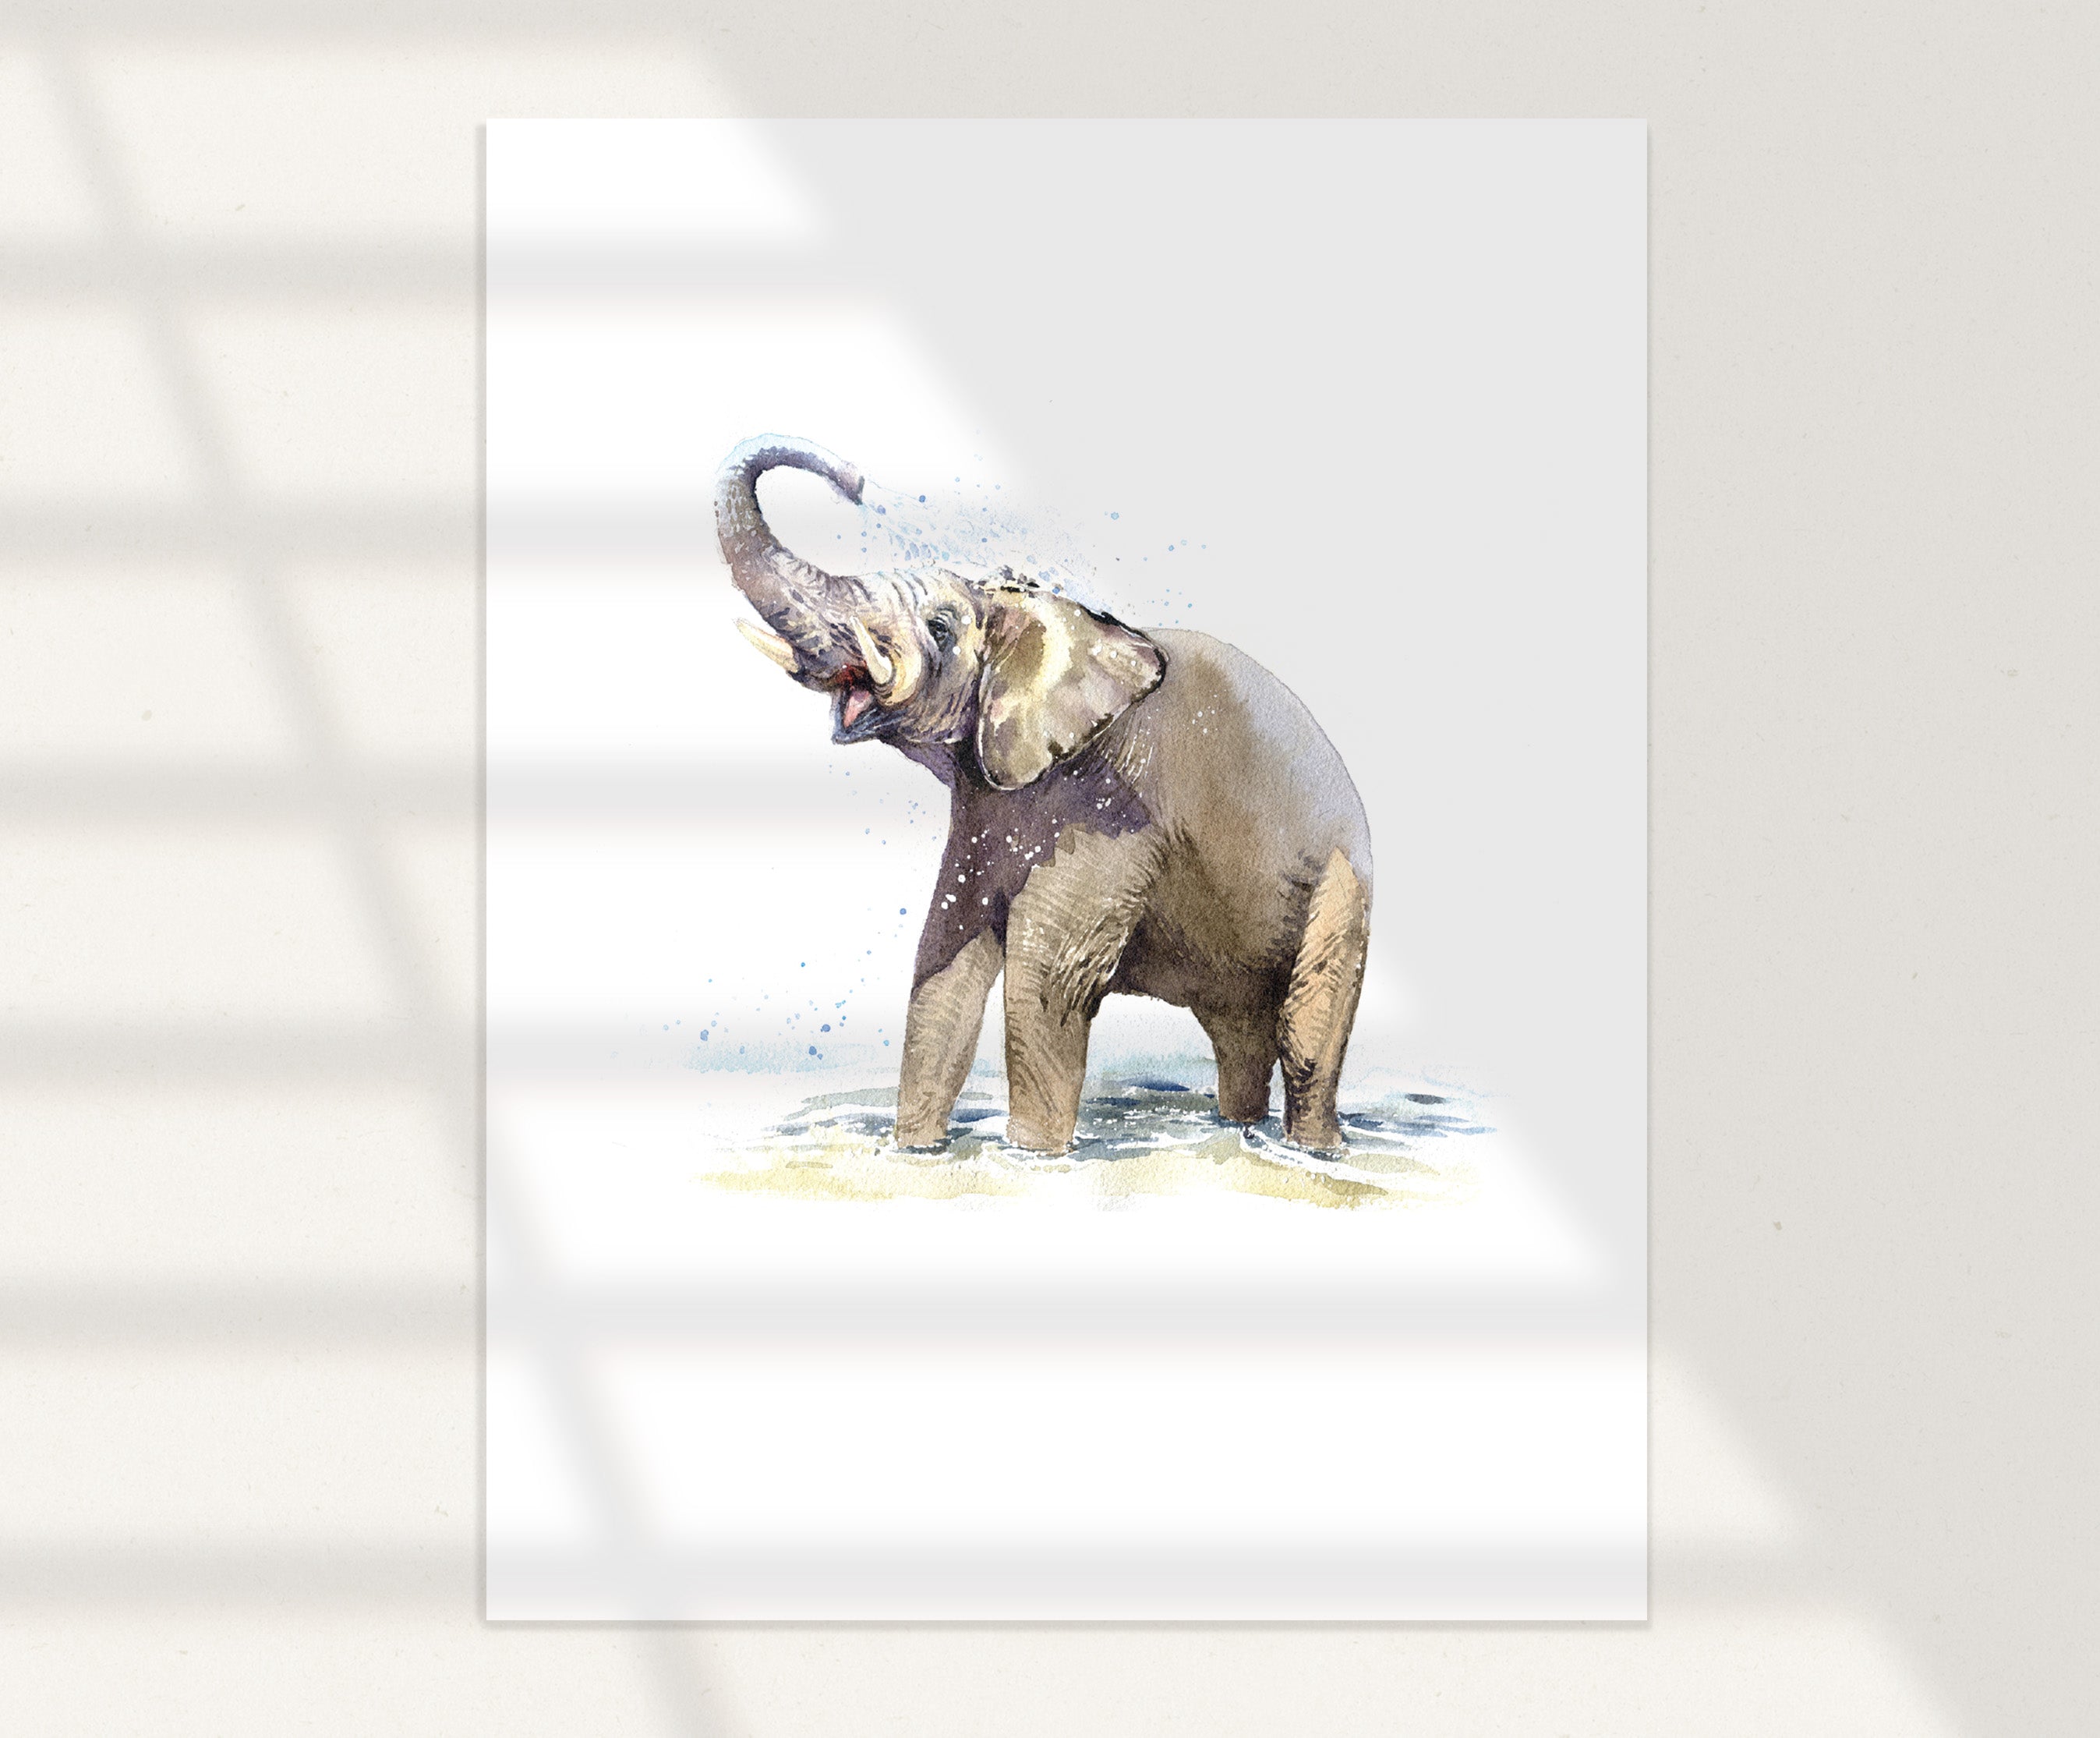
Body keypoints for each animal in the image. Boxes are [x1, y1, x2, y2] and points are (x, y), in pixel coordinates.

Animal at [716, 435, 1372, 1155]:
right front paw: (916, 1152)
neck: (1041, 615)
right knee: (1239, 1031)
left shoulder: (1110, 808)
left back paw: (1313, 1148)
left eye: (940, 629)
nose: (855, 480)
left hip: (1342, 883)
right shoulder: (988, 801)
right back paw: (1239, 1128)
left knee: (1306, 1029)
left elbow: (1045, 977)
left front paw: (1032, 1156)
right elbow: (942, 966)